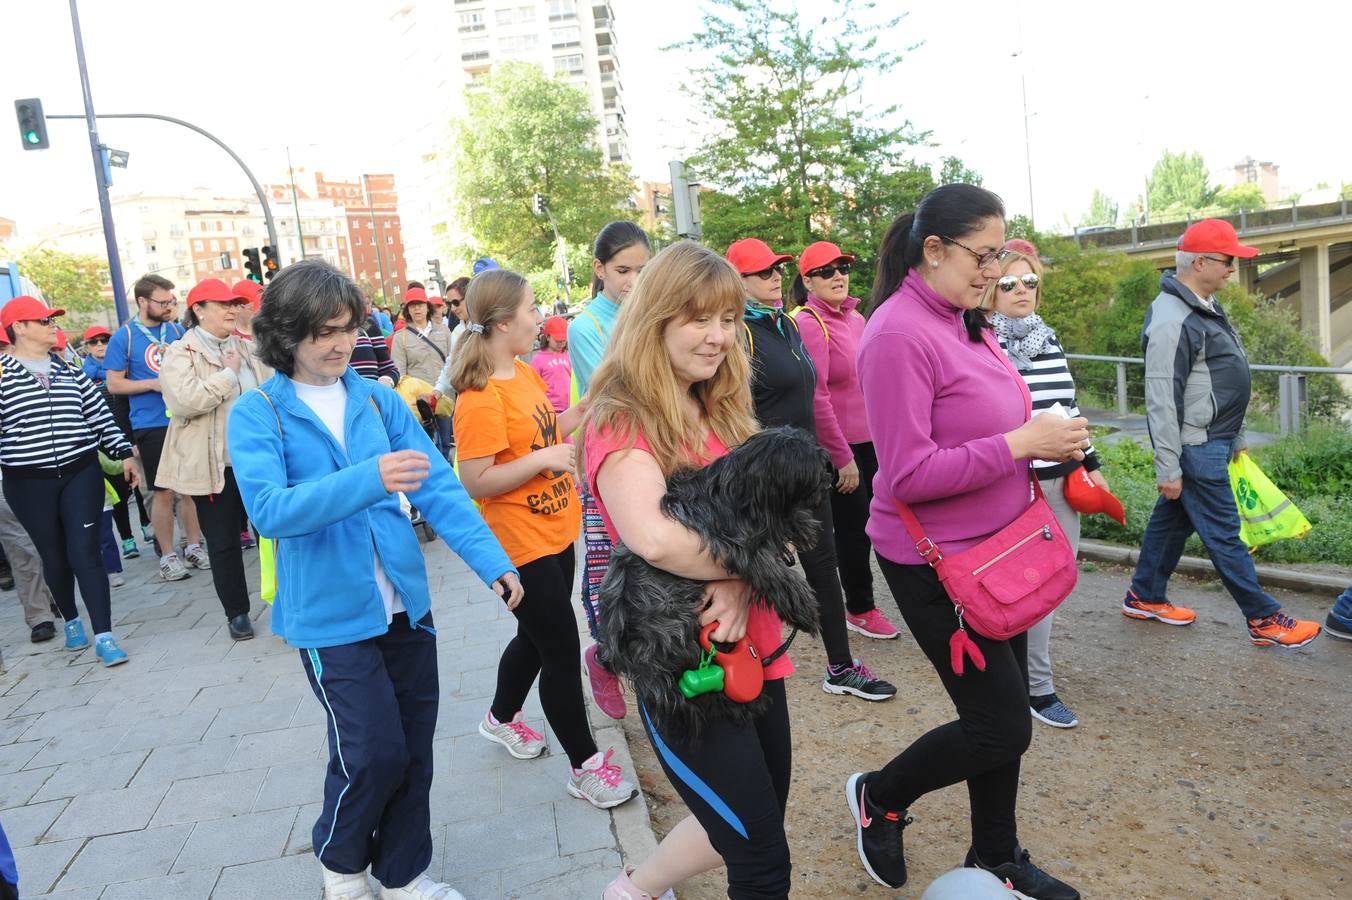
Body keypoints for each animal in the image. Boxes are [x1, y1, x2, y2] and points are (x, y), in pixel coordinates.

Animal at [600, 424, 827, 735]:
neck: (738, 488)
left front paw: (802, 526)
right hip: (677, 634)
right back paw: (744, 705)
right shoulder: (743, 548)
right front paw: (804, 610)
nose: (829, 467)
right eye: (809, 464)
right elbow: (777, 574)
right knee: (691, 697)